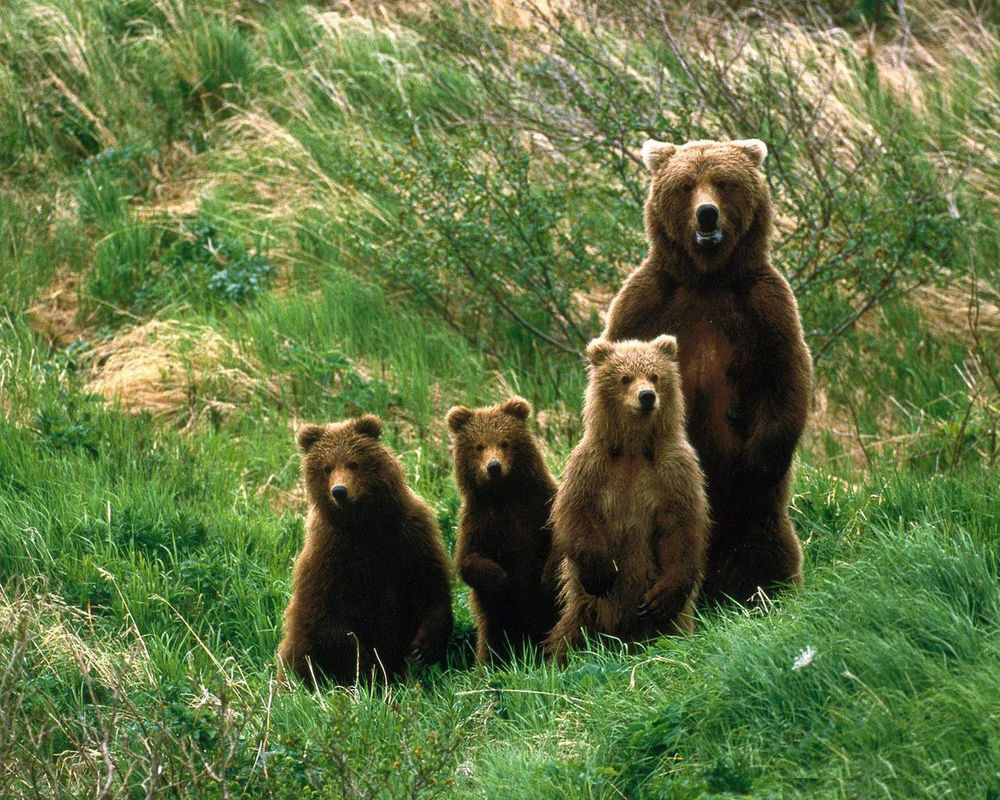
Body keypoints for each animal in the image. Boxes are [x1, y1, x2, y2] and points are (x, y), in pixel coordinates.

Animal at [280, 418, 456, 688]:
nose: (339, 491)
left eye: (353, 463)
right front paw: (367, 660)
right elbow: (322, 612)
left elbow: (430, 584)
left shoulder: (409, 535)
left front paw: (423, 646)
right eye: (327, 467)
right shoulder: (329, 552)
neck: (364, 524)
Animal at [448, 396, 564, 664]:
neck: (504, 494)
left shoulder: (539, 505)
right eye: (479, 446)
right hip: (496, 619)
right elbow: (468, 559)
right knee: (492, 641)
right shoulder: (480, 519)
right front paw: (499, 577)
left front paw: (547, 576)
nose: (493, 467)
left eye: (504, 442)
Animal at [548, 334, 712, 660]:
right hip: (585, 610)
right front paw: (601, 571)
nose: (647, 396)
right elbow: (575, 512)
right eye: (624, 378)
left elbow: (682, 526)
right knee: (569, 635)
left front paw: (662, 597)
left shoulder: (675, 471)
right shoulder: (592, 466)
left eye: (655, 375)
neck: (634, 448)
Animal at [600, 138, 812, 608]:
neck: (707, 278)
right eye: (685, 185)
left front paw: (757, 462)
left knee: (765, 544)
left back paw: (763, 591)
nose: (707, 214)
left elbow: (784, 377)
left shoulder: (764, 306)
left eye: (723, 181)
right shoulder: (645, 302)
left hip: (756, 518)